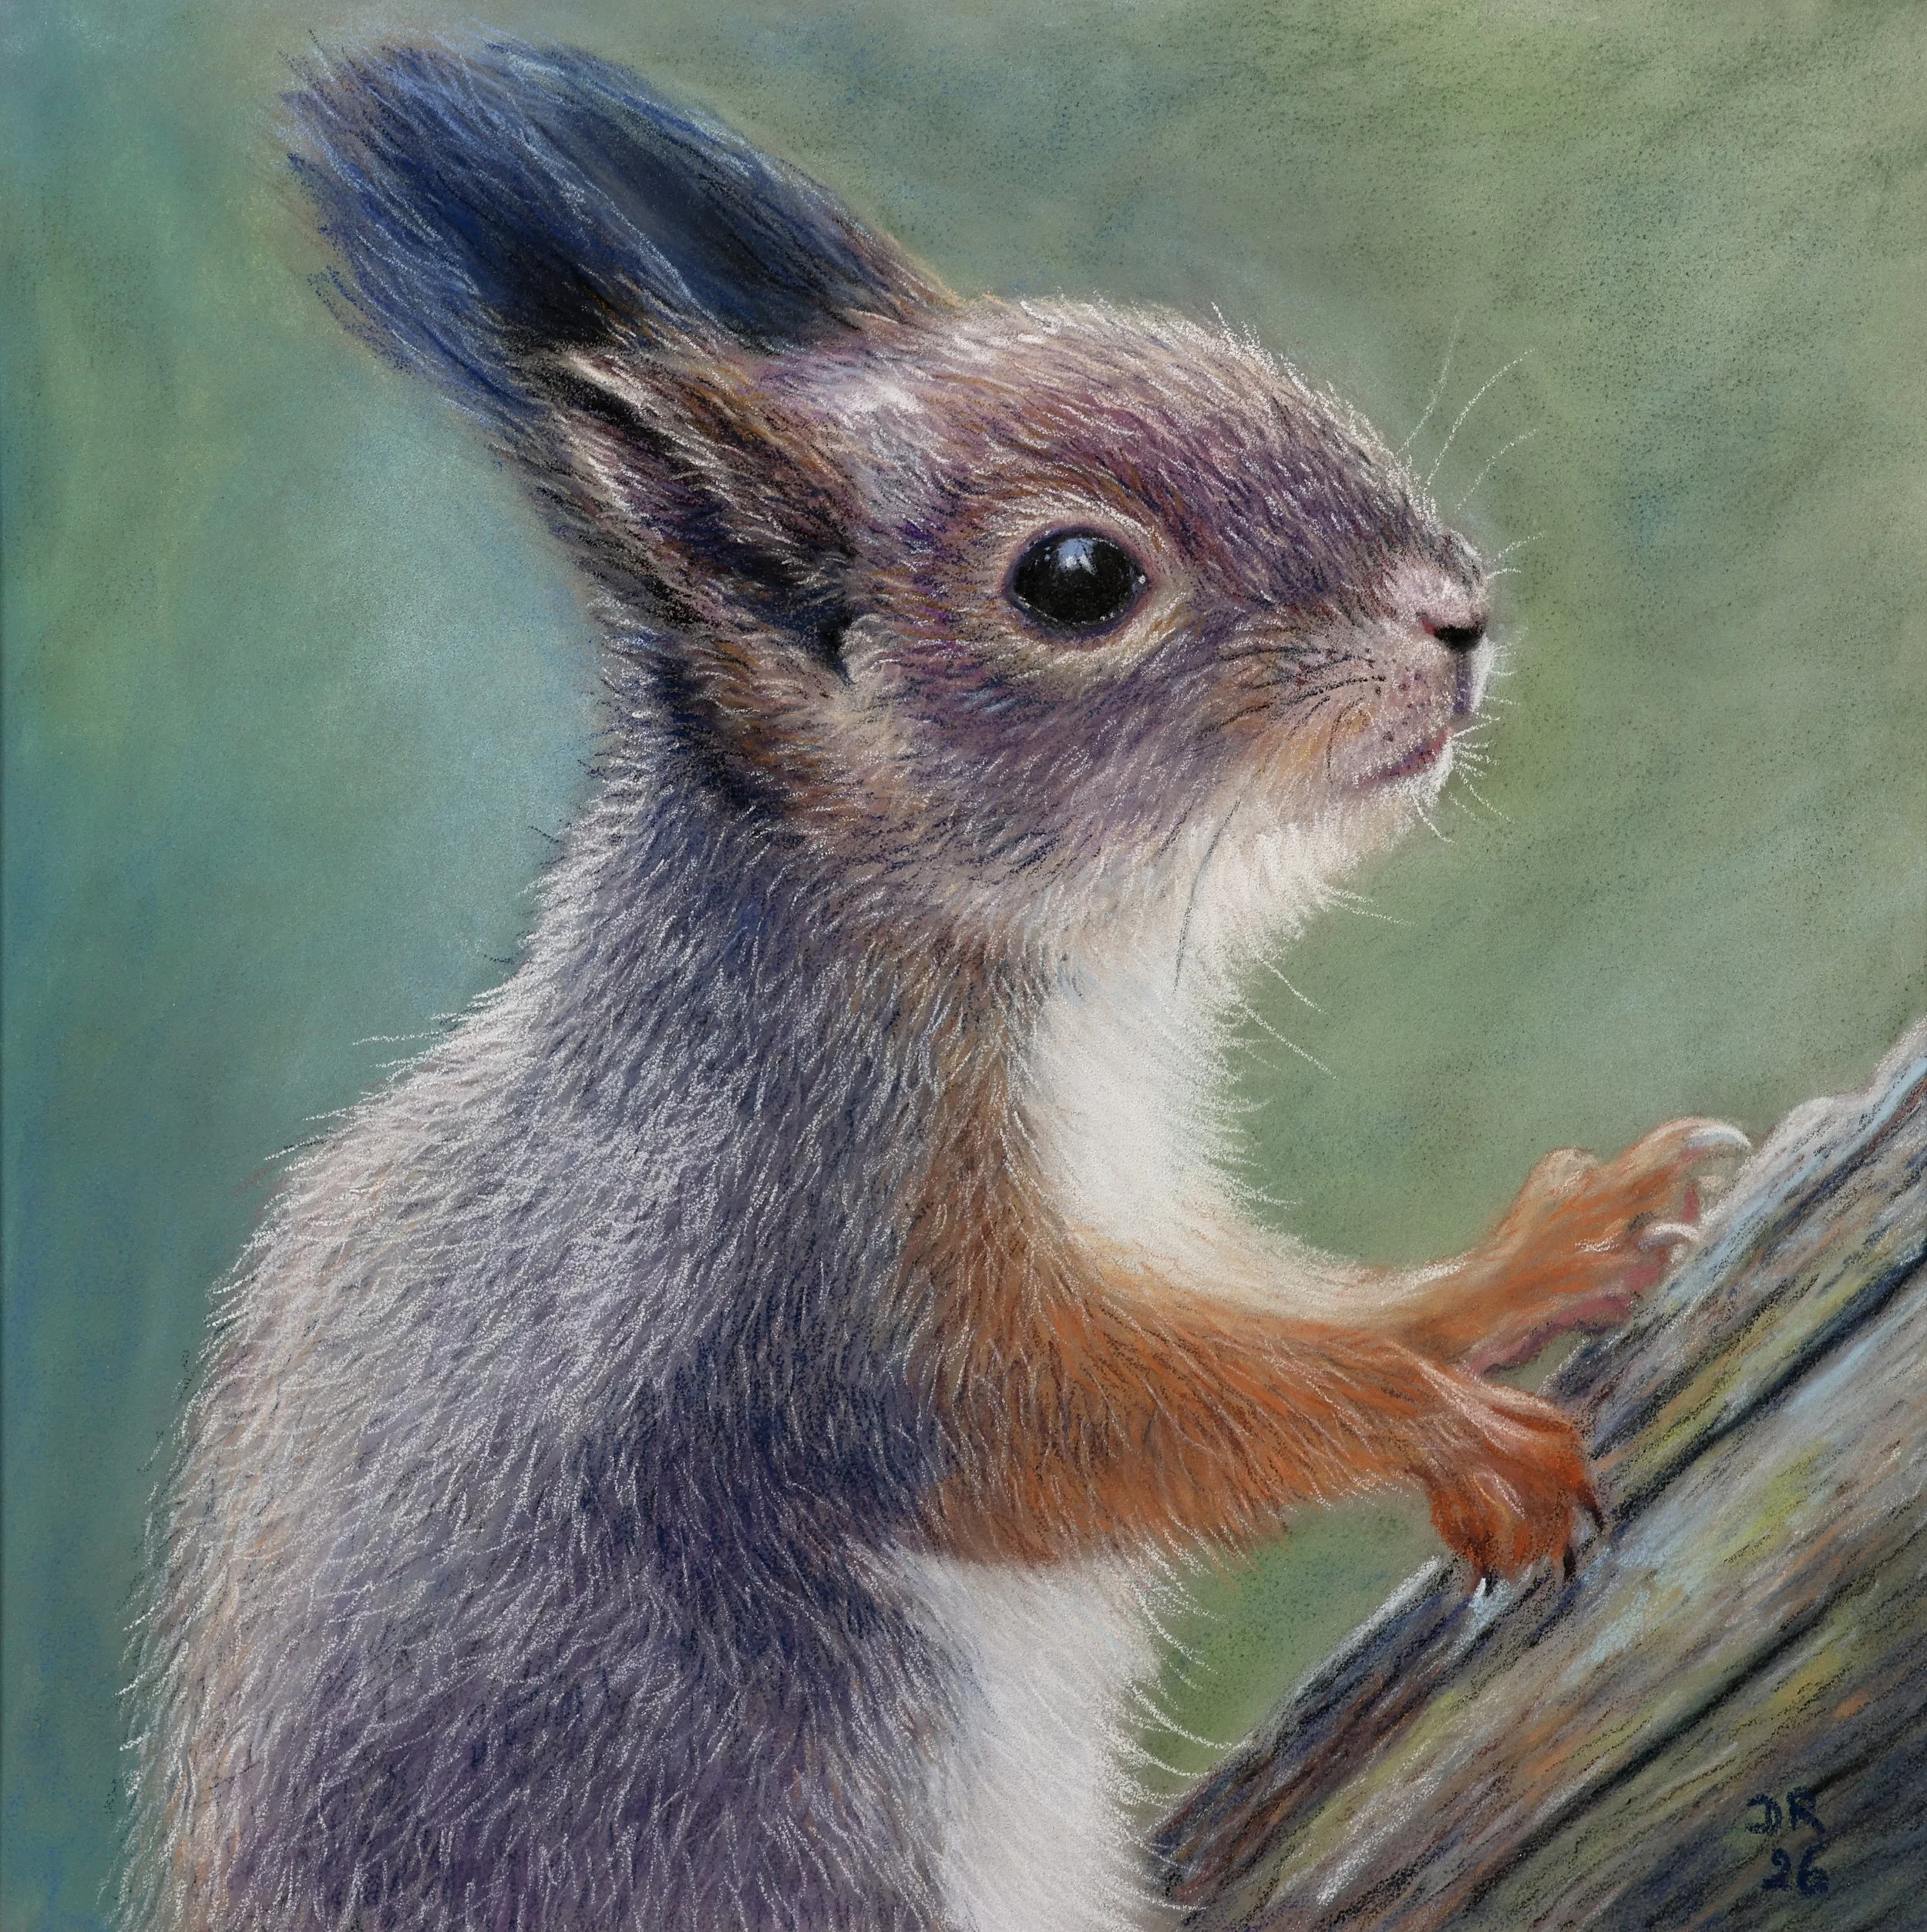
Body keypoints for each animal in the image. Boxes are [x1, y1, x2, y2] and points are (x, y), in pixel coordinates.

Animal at [125, 37, 1749, 1932]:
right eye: (1074, 580)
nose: (1454, 616)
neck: (1047, 973)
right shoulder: (797, 1254)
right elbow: (1071, 1416)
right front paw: (1445, 1429)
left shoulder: (1143, 1214)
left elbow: (1283, 1310)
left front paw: (1533, 1253)